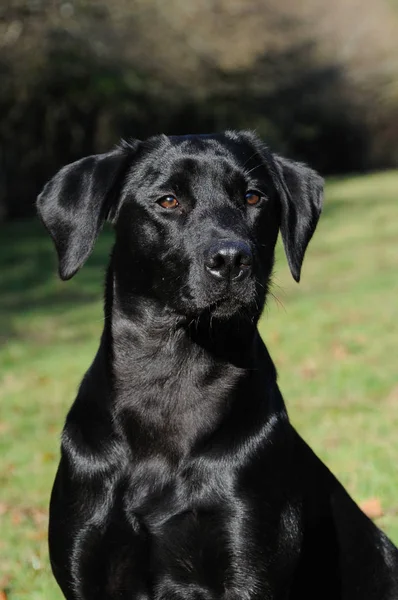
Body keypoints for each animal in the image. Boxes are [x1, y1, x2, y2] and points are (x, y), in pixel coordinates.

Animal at [38, 132, 398, 600]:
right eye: (168, 200)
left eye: (253, 196)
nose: (231, 259)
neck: (172, 380)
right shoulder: (86, 562)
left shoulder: (247, 560)